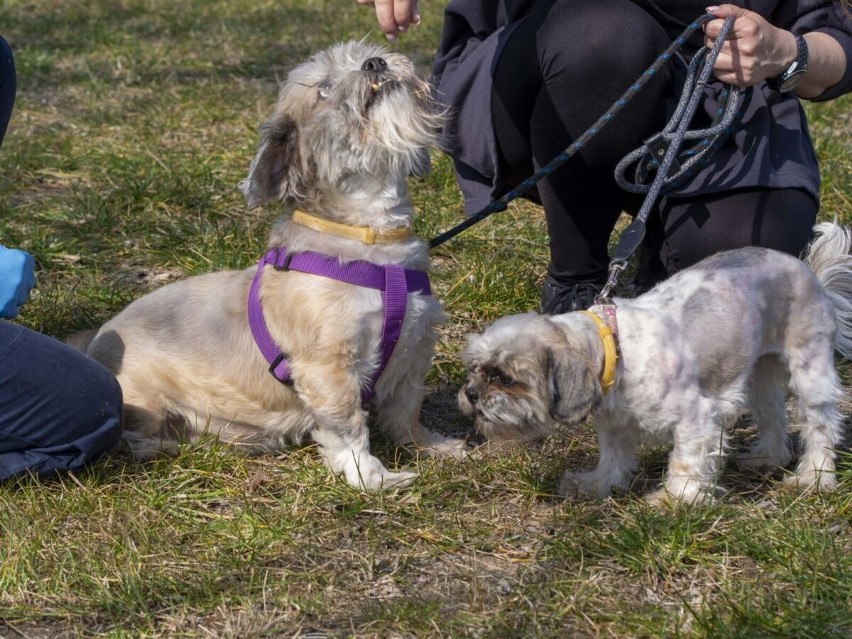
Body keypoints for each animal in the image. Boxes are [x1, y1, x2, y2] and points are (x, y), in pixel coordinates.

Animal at [71, 40, 466, 490]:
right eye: (324, 88)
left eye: (364, 54)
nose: (375, 63)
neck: (370, 243)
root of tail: (95, 343)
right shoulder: (327, 367)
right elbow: (348, 427)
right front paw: (372, 476)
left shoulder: (414, 348)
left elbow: (406, 411)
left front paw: (430, 446)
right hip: (142, 397)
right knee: (132, 436)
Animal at [460, 222, 852, 508]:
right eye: (475, 369)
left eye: (505, 378)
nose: (471, 393)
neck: (615, 348)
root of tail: (809, 271)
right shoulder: (614, 422)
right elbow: (613, 456)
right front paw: (596, 484)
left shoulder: (697, 418)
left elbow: (685, 461)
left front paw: (673, 501)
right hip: (760, 377)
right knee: (773, 415)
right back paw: (769, 458)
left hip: (810, 373)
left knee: (821, 427)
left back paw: (813, 478)